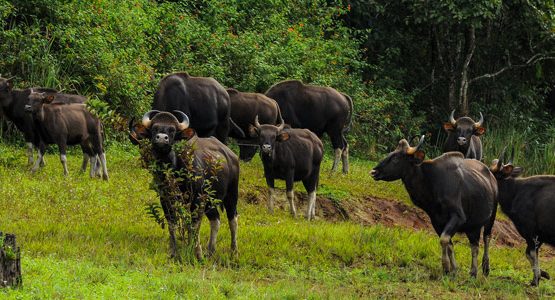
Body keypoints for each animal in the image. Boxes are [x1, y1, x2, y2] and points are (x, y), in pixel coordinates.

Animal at [130, 110, 239, 260]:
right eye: (154, 129)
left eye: (172, 130)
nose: (161, 138)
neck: (174, 168)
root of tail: (231, 155)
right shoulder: (166, 198)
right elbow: (173, 223)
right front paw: (173, 251)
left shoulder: (197, 199)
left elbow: (193, 225)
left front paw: (197, 253)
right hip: (210, 201)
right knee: (215, 220)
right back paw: (210, 250)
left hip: (231, 194)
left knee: (233, 220)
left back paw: (234, 252)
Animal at [374, 136, 500, 276]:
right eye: (390, 154)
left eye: (396, 158)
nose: (374, 171)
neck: (432, 183)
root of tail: (492, 178)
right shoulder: (436, 221)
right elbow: (448, 244)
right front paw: (452, 269)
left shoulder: (458, 217)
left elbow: (444, 240)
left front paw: (446, 266)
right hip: (473, 226)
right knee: (475, 245)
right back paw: (473, 271)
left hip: (491, 217)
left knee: (486, 238)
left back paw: (485, 268)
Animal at [494, 149, 552, 286]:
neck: (516, 192)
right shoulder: (537, 236)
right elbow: (530, 254)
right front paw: (543, 274)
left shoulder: (531, 233)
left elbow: (530, 254)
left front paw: (536, 280)